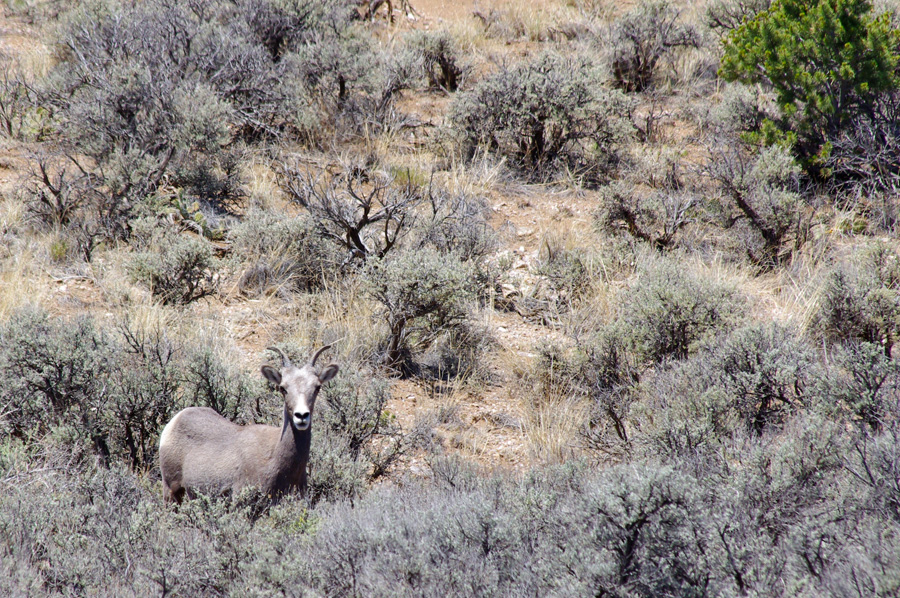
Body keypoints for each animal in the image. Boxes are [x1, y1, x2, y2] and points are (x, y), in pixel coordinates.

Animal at [158, 346, 338, 506]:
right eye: (283, 388)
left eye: (317, 387)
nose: (301, 416)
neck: (274, 455)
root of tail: (175, 421)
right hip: (171, 491)